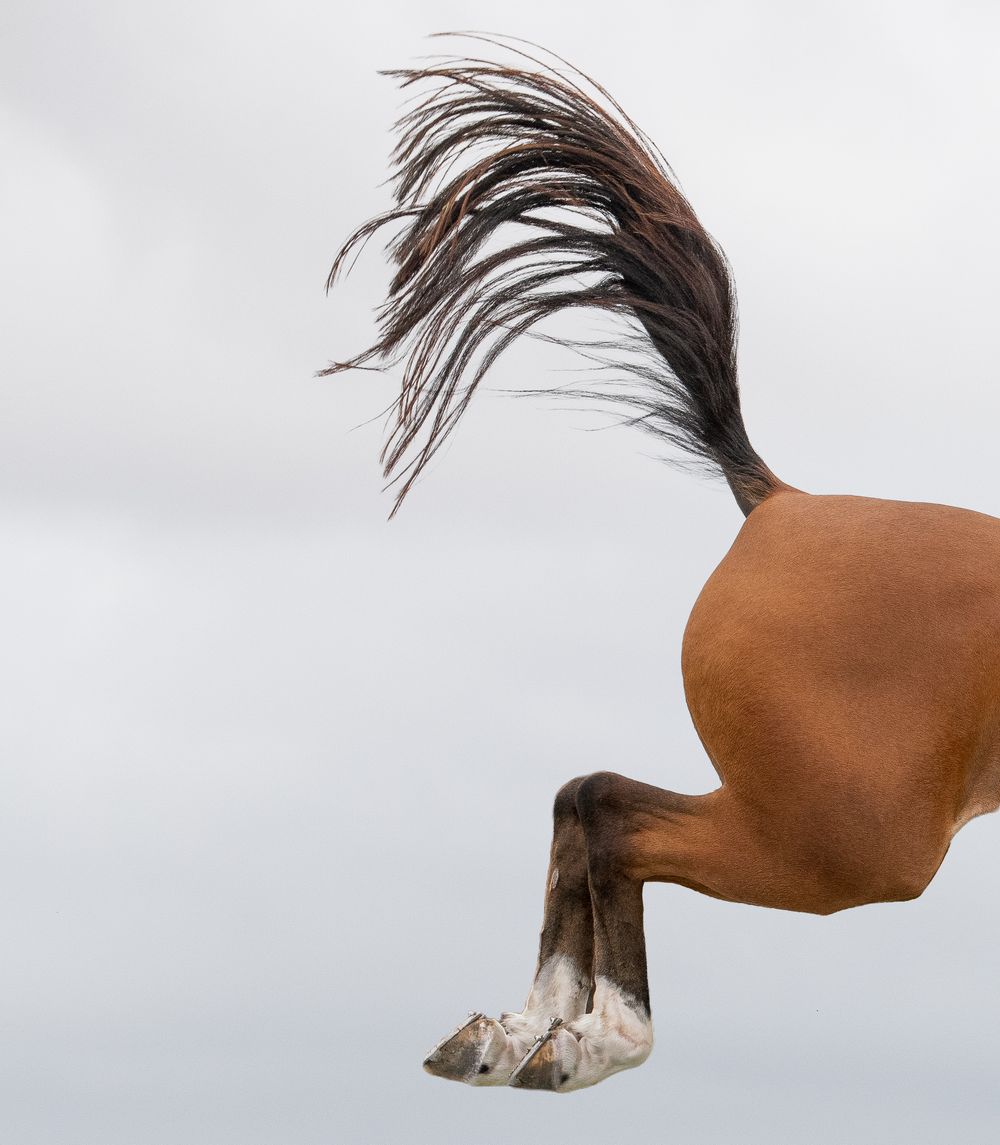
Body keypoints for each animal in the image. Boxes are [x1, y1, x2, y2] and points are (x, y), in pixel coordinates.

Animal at [324, 37, 1000, 1092]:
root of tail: (781, 502)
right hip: (846, 840)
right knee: (612, 814)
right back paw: (595, 1037)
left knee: (581, 800)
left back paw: (519, 1033)